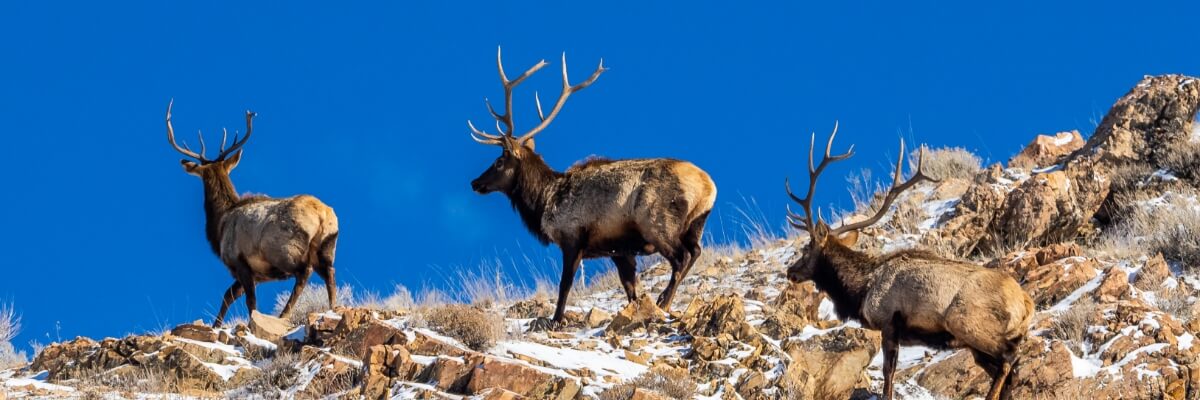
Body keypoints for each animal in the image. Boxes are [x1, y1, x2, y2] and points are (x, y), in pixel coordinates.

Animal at [166, 100, 340, 326]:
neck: (219, 224)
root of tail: (322, 215)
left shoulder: (239, 261)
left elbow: (248, 301)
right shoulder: (257, 274)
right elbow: (228, 295)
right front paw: (216, 325)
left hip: (284, 249)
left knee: (304, 272)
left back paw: (283, 315)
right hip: (327, 247)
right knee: (329, 272)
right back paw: (333, 308)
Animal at [465, 47, 710, 326]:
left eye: (498, 161)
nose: (475, 182)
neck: (543, 201)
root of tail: (707, 186)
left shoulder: (573, 237)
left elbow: (565, 285)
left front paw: (556, 320)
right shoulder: (619, 250)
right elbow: (630, 290)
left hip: (657, 224)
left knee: (681, 257)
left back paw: (664, 301)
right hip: (695, 225)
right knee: (696, 251)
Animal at [782, 126, 1036, 398]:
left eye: (807, 248)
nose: (790, 271)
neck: (860, 290)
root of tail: (1026, 304)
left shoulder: (889, 320)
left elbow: (888, 374)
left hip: (966, 322)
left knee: (1010, 357)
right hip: (975, 341)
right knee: (1008, 371)